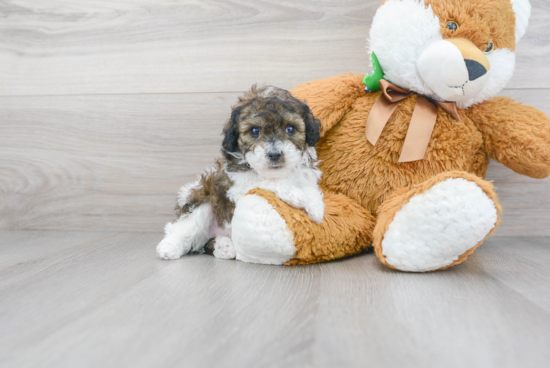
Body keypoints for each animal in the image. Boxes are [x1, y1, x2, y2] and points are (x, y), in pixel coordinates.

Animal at [157, 85, 326, 260]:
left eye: (290, 129)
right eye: (254, 131)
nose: (274, 154)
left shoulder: (305, 175)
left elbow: (310, 187)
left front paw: (316, 207)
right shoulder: (238, 185)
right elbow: (266, 181)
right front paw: (297, 195)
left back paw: (224, 247)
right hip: (200, 200)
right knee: (183, 227)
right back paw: (169, 247)